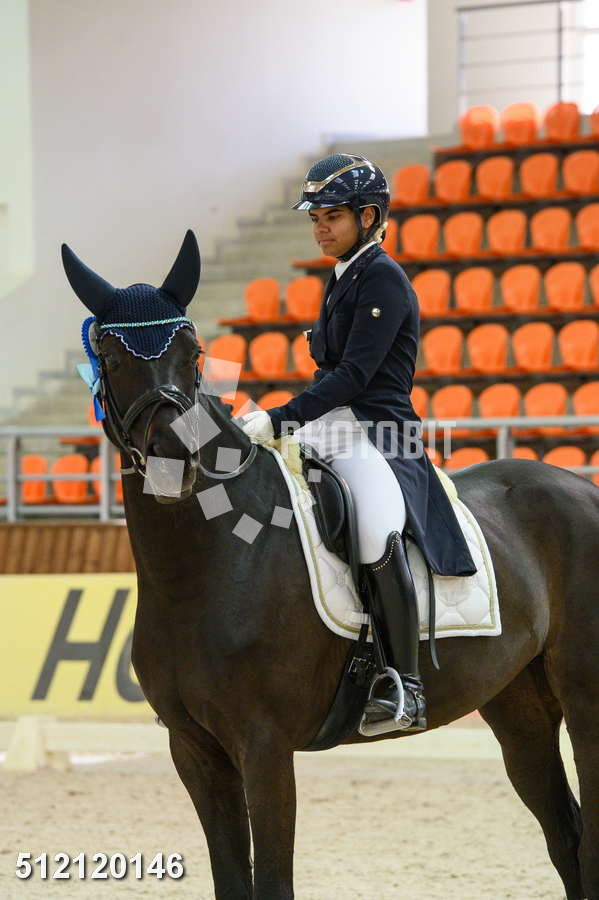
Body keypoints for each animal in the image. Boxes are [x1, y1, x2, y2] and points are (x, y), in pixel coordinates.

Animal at [64, 235, 599, 900]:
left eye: (194, 353)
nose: (175, 458)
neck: (200, 568)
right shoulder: (194, 750)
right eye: (111, 355)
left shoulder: (263, 746)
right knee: (566, 838)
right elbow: (231, 879)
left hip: (586, 698)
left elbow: (272, 881)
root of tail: (581, 487)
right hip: (518, 702)